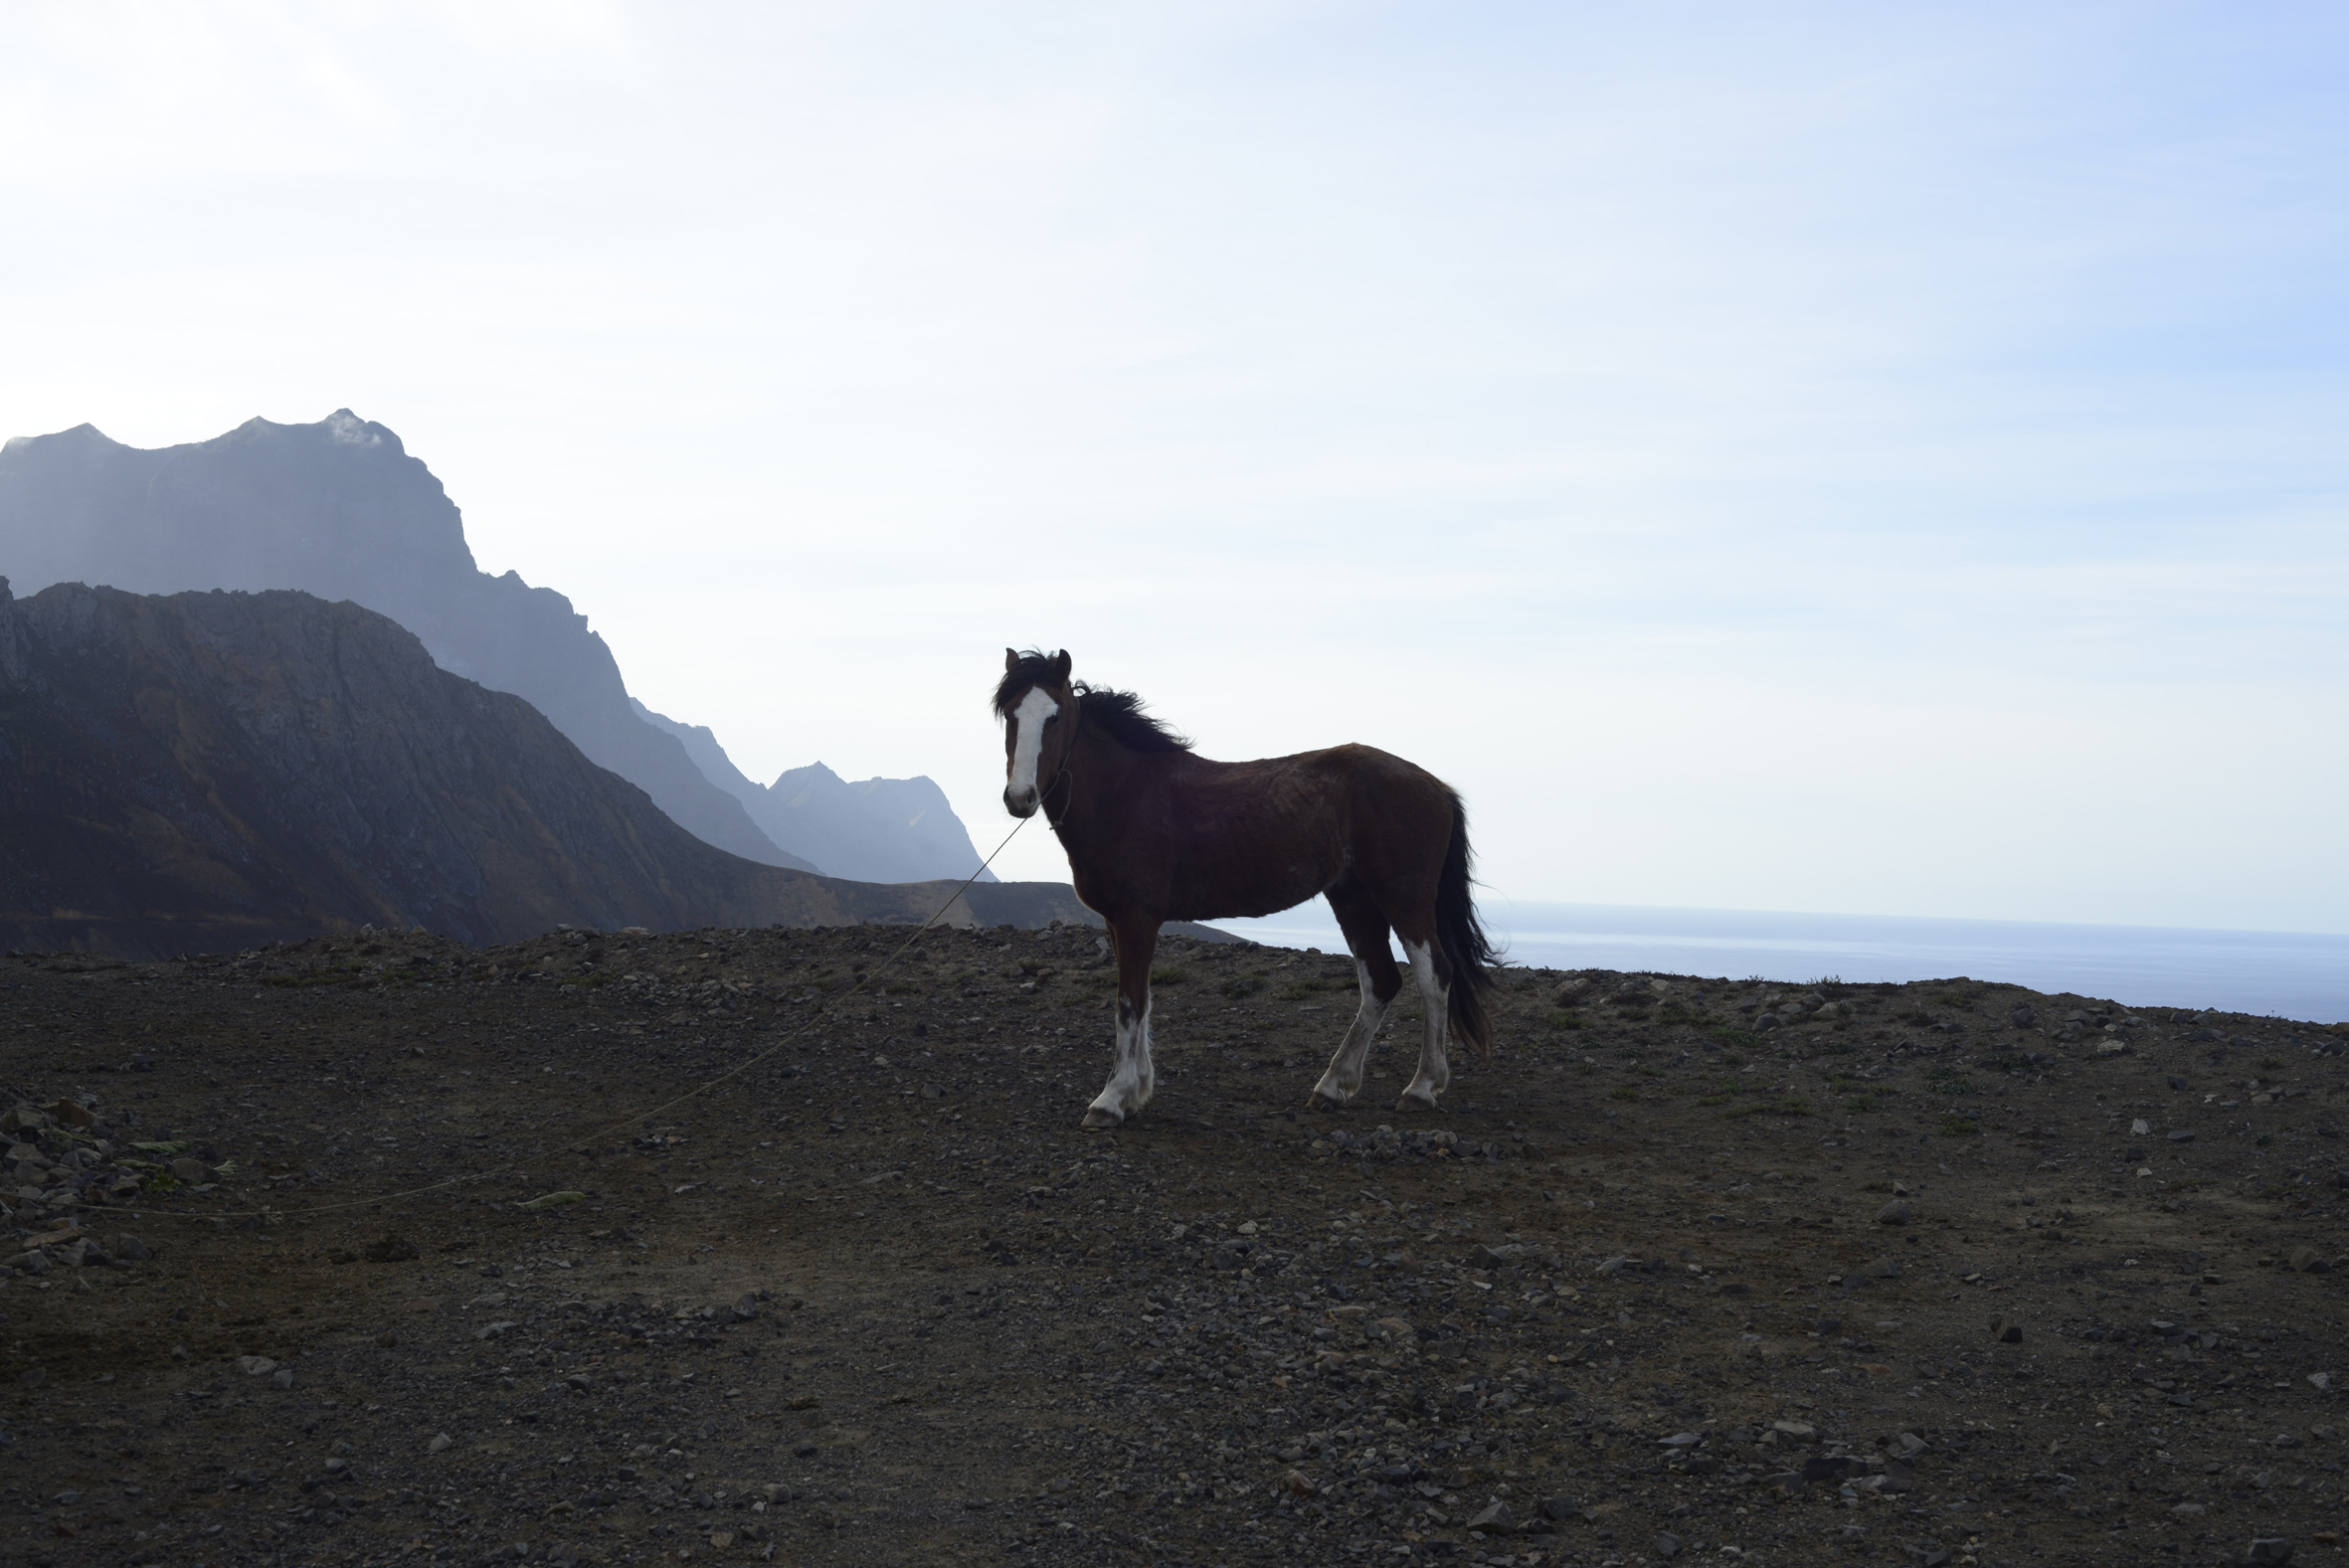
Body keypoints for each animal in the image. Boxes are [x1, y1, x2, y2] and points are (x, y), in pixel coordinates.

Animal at [994, 648, 1497, 1129]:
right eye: (1010, 715)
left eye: (1055, 716)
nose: (1020, 798)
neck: (1126, 793)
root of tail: (1436, 786)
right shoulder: (1118, 922)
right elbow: (1143, 1002)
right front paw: (1136, 1092)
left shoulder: (1137, 919)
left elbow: (1129, 1004)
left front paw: (1112, 1100)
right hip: (1353, 899)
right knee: (1380, 981)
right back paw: (1332, 1086)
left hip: (1403, 897)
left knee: (1434, 976)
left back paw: (1422, 1088)